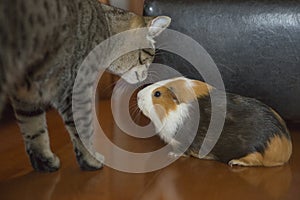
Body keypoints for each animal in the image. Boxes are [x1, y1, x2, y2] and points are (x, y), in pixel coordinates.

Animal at [0, 0, 170, 172]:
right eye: (149, 57)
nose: (146, 77)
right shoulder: (75, 87)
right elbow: (83, 126)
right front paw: (91, 159)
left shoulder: (26, 93)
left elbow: (33, 127)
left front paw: (43, 160)